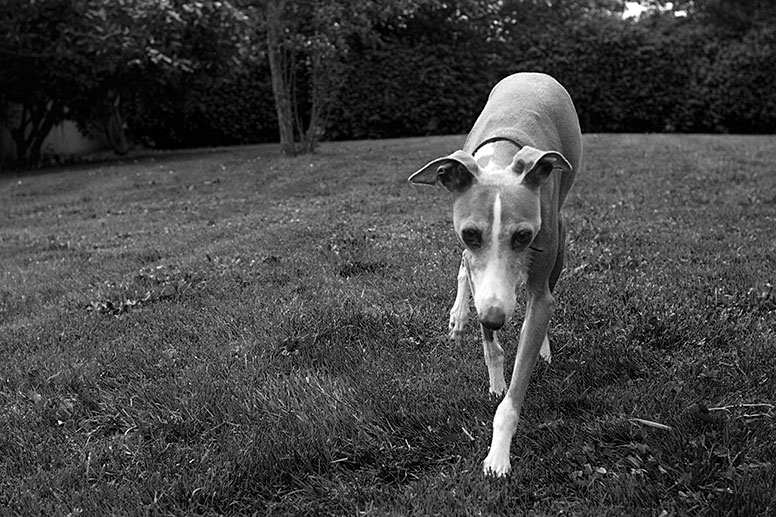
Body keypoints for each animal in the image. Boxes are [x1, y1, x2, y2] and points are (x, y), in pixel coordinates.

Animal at [406, 72, 584, 476]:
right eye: (471, 233)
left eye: (524, 236)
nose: (494, 318)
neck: (502, 159)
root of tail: (533, 74)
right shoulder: (478, 269)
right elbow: (490, 342)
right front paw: (495, 378)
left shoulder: (534, 279)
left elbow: (535, 320)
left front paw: (498, 454)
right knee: (462, 270)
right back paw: (459, 315)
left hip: (560, 235)